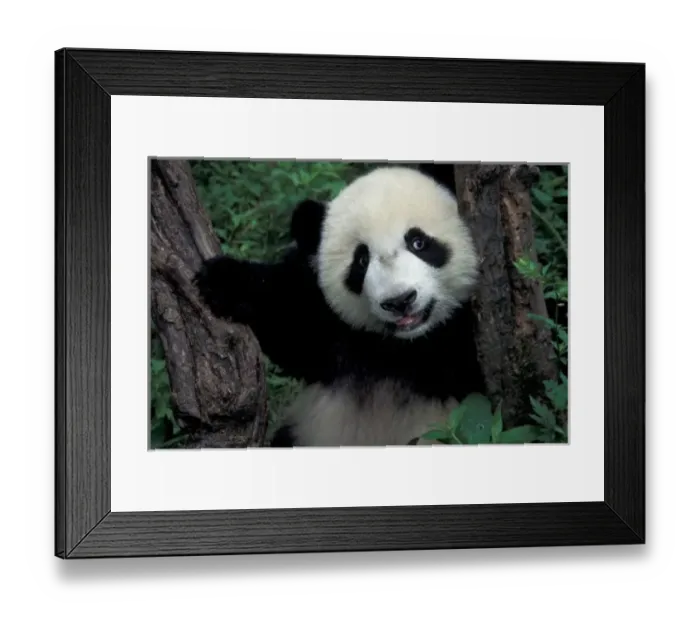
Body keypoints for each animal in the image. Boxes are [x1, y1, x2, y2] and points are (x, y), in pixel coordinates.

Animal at [194, 164, 485, 447]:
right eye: (361, 260)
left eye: (418, 242)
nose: (400, 301)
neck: (402, 345)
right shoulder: (331, 326)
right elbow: (289, 318)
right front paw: (222, 278)